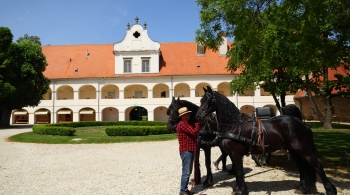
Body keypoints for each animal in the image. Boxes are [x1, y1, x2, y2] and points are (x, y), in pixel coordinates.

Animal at [194, 86, 336, 195]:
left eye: (208, 100)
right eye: (200, 100)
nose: (198, 116)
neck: (234, 124)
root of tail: (303, 124)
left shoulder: (236, 153)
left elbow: (239, 171)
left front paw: (241, 190)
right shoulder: (233, 154)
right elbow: (237, 172)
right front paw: (238, 188)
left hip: (304, 150)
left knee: (317, 166)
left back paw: (330, 190)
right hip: (295, 151)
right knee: (303, 167)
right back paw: (302, 188)